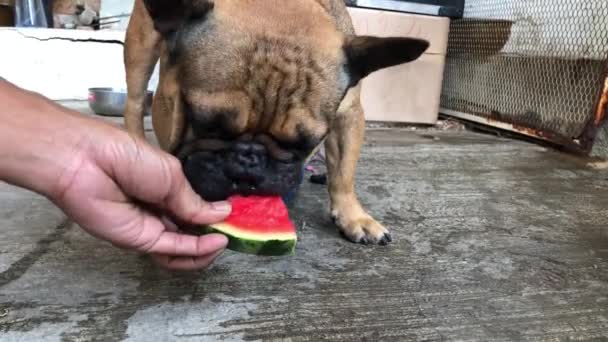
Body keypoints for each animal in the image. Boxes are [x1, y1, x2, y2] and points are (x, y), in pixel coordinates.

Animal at [122, 0, 428, 246]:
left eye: (303, 144)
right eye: (207, 125)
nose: (249, 158)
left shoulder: (348, 113)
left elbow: (344, 172)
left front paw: (353, 216)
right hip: (140, 49)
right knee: (134, 104)